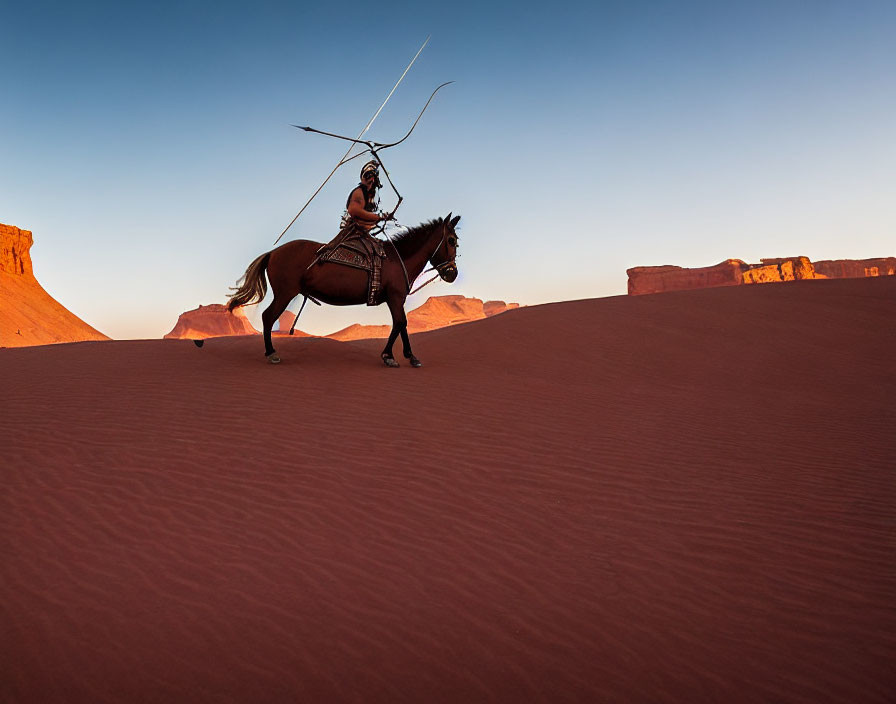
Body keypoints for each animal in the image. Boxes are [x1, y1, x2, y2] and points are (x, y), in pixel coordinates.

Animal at [229, 213, 462, 368]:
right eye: (451, 240)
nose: (452, 273)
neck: (398, 259)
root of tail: (273, 253)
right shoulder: (395, 297)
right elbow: (400, 323)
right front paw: (391, 356)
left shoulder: (396, 299)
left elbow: (401, 324)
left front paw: (407, 356)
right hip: (285, 293)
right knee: (268, 317)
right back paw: (271, 353)